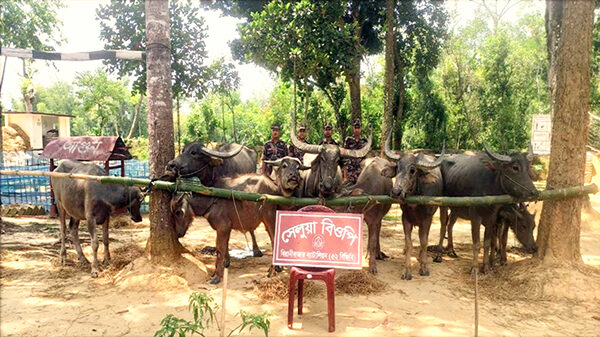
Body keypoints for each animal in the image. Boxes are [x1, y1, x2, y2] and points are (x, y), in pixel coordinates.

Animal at [170, 156, 308, 282]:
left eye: (178, 212)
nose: (178, 233)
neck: (211, 199)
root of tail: (275, 188)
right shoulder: (225, 229)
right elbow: (224, 248)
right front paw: (217, 271)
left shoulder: (223, 227)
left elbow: (220, 250)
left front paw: (217, 277)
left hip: (270, 217)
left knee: (275, 240)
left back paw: (272, 271)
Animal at [382, 133, 442, 280]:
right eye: (397, 167)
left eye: (413, 170)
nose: (396, 192)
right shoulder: (405, 219)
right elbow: (409, 243)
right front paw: (407, 270)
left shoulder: (427, 219)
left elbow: (424, 241)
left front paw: (424, 268)